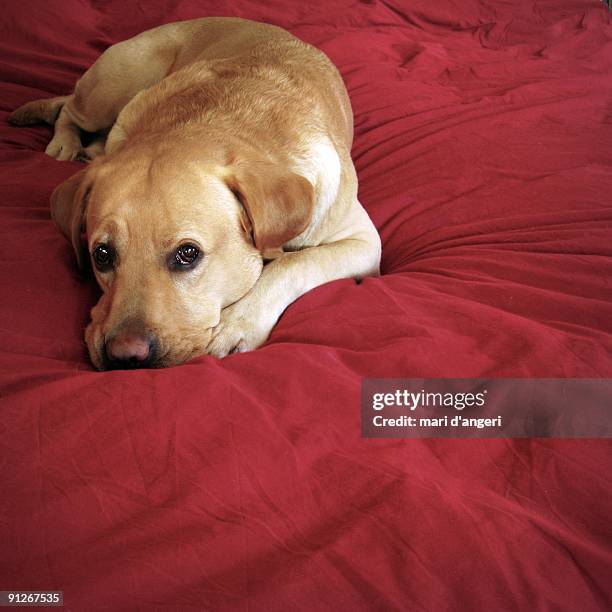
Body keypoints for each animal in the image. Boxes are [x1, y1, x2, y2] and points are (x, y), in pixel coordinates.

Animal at [11, 16, 380, 368]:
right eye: (101, 255)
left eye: (187, 254)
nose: (124, 357)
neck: (218, 122)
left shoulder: (364, 243)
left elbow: (293, 264)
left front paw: (237, 322)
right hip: (108, 93)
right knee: (68, 110)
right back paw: (66, 142)